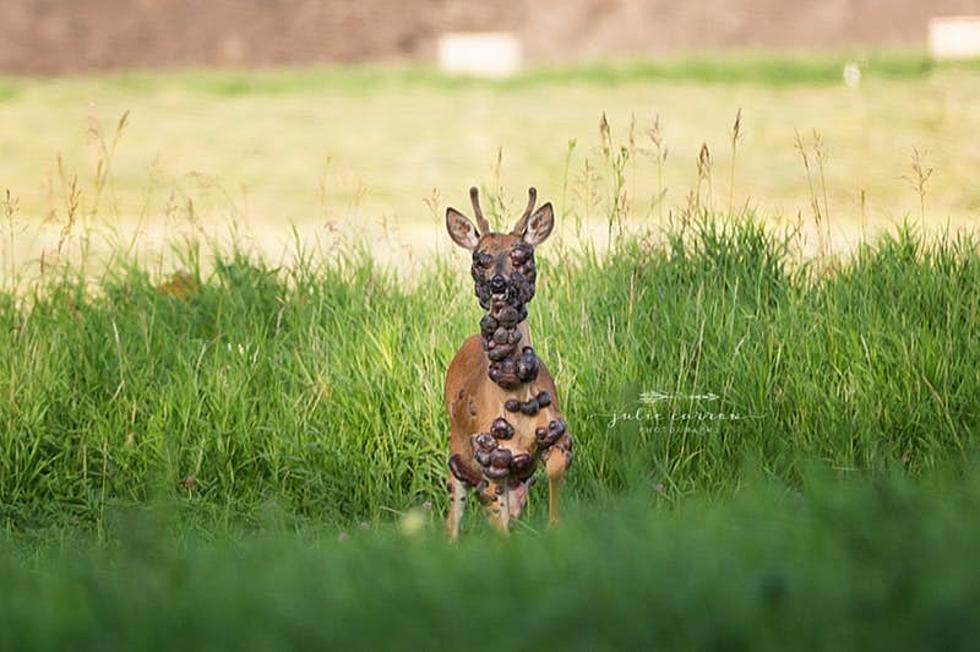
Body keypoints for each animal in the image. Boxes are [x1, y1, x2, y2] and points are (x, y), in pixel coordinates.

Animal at [444, 187, 576, 540]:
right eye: (479, 258)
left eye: (524, 256)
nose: (499, 284)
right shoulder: (490, 457)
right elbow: (499, 524)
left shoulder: (556, 434)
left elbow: (555, 472)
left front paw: (556, 529)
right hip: (457, 448)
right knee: (453, 517)